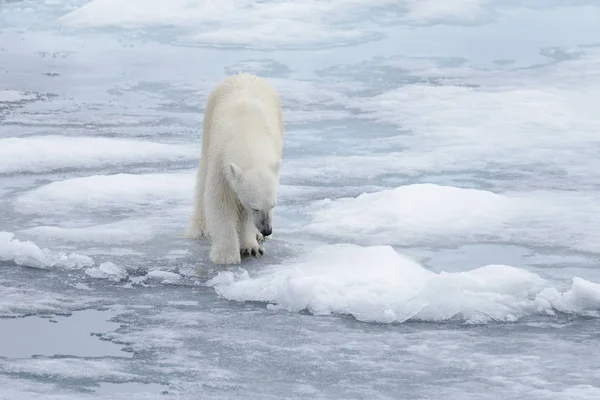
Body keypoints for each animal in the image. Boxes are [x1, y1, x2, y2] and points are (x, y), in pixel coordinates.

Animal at [185, 72, 284, 266]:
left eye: (273, 205)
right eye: (255, 207)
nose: (267, 229)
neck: (248, 132)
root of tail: (244, 74)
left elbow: (242, 212)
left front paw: (251, 247)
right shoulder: (220, 160)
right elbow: (220, 201)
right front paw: (226, 256)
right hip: (209, 118)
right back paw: (200, 228)